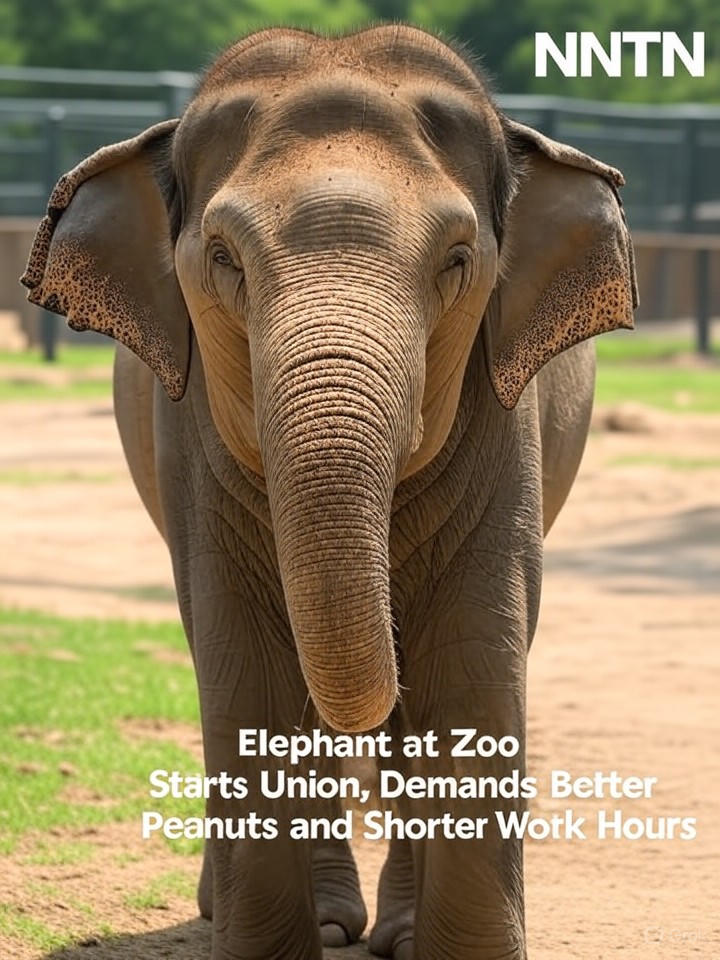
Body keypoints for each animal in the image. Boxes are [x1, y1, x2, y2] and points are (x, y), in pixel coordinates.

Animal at [22, 24, 637, 960]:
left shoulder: (507, 411)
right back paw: (320, 921)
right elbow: (243, 657)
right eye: (223, 259)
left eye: (459, 261)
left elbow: (473, 652)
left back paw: (394, 932)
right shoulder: (191, 429)